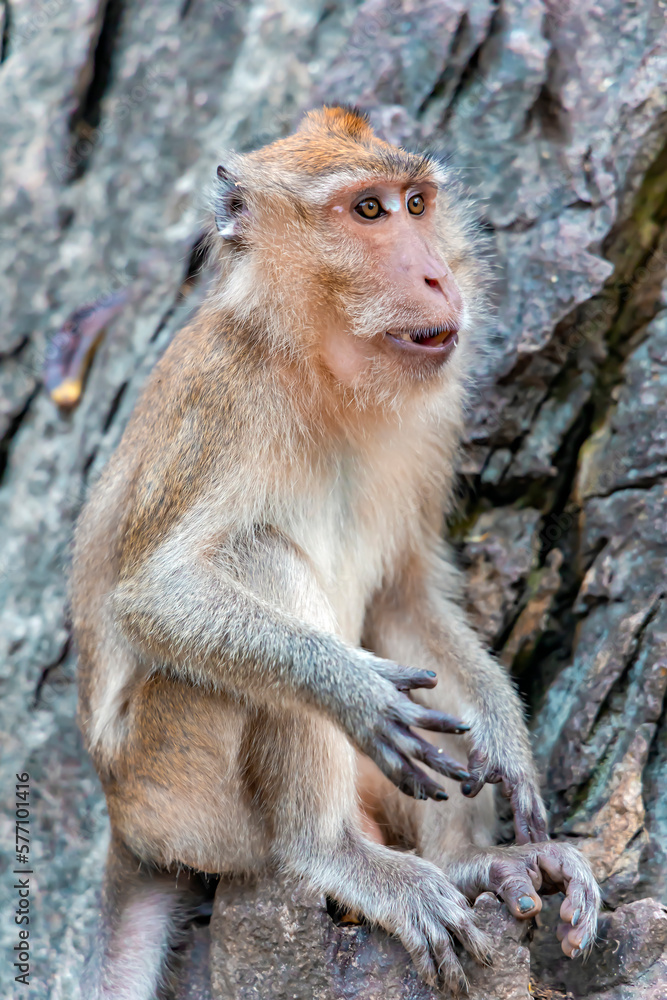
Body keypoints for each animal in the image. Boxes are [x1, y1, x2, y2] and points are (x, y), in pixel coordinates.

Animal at [71, 106, 600, 999]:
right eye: (367, 212)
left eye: (416, 203)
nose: (437, 277)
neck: (322, 374)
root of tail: (122, 824)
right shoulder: (225, 401)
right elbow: (156, 595)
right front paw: (351, 690)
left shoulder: (432, 419)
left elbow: (402, 595)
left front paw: (503, 726)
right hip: (175, 788)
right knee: (260, 562)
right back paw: (336, 855)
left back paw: (474, 863)